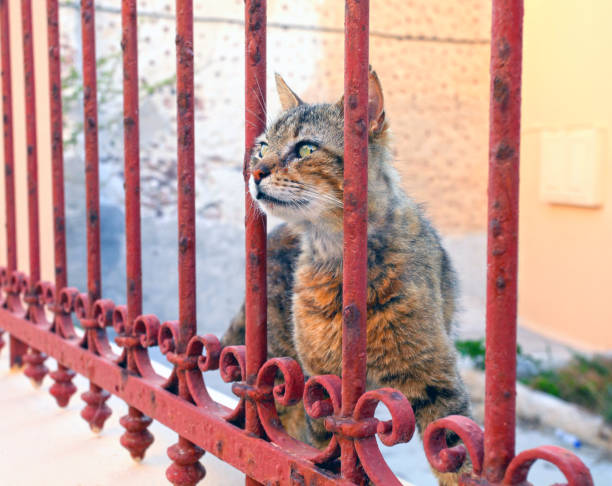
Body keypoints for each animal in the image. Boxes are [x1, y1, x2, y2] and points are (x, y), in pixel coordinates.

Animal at [222, 70, 470, 484]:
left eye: (306, 149)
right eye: (262, 147)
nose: (254, 172)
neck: (336, 260)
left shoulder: (436, 378)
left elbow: (459, 460)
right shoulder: (320, 384)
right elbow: (330, 454)